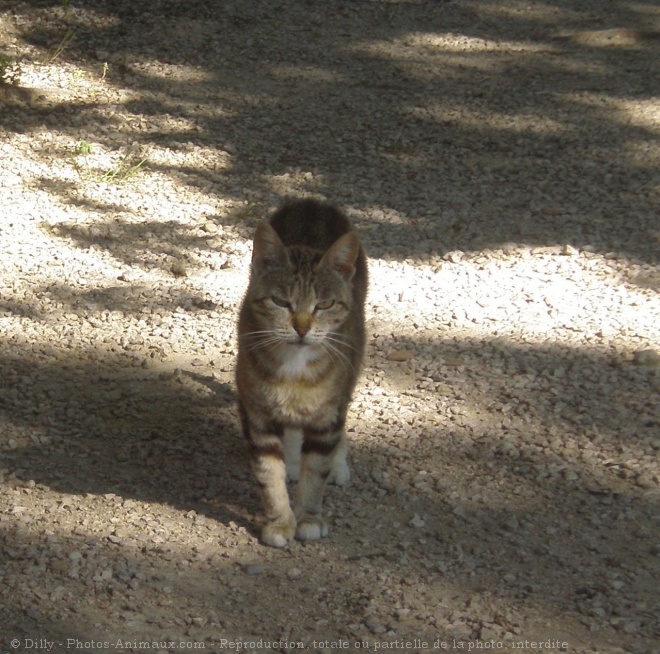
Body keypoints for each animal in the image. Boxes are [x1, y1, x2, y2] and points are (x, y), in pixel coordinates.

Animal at [236, 200, 368, 548]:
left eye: (324, 305)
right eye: (280, 301)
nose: (302, 327)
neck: (294, 371)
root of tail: (312, 202)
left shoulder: (327, 417)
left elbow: (316, 471)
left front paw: (309, 517)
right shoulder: (257, 416)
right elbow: (268, 473)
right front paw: (280, 521)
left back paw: (337, 464)